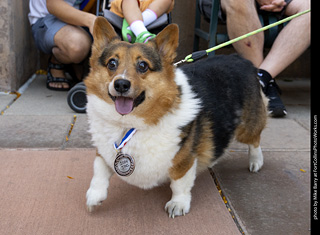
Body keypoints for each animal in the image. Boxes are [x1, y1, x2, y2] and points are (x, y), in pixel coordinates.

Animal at [84, 17, 268, 218]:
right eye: (111, 63)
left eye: (143, 66)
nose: (121, 84)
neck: (129, 125)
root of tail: (240, 59)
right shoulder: (104, 151)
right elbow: (99, 171)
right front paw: (94, 197)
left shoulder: (183, 160)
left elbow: (179, 184)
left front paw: (178, 204)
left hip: (247, 127)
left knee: (255, 140)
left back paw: (256, 162)